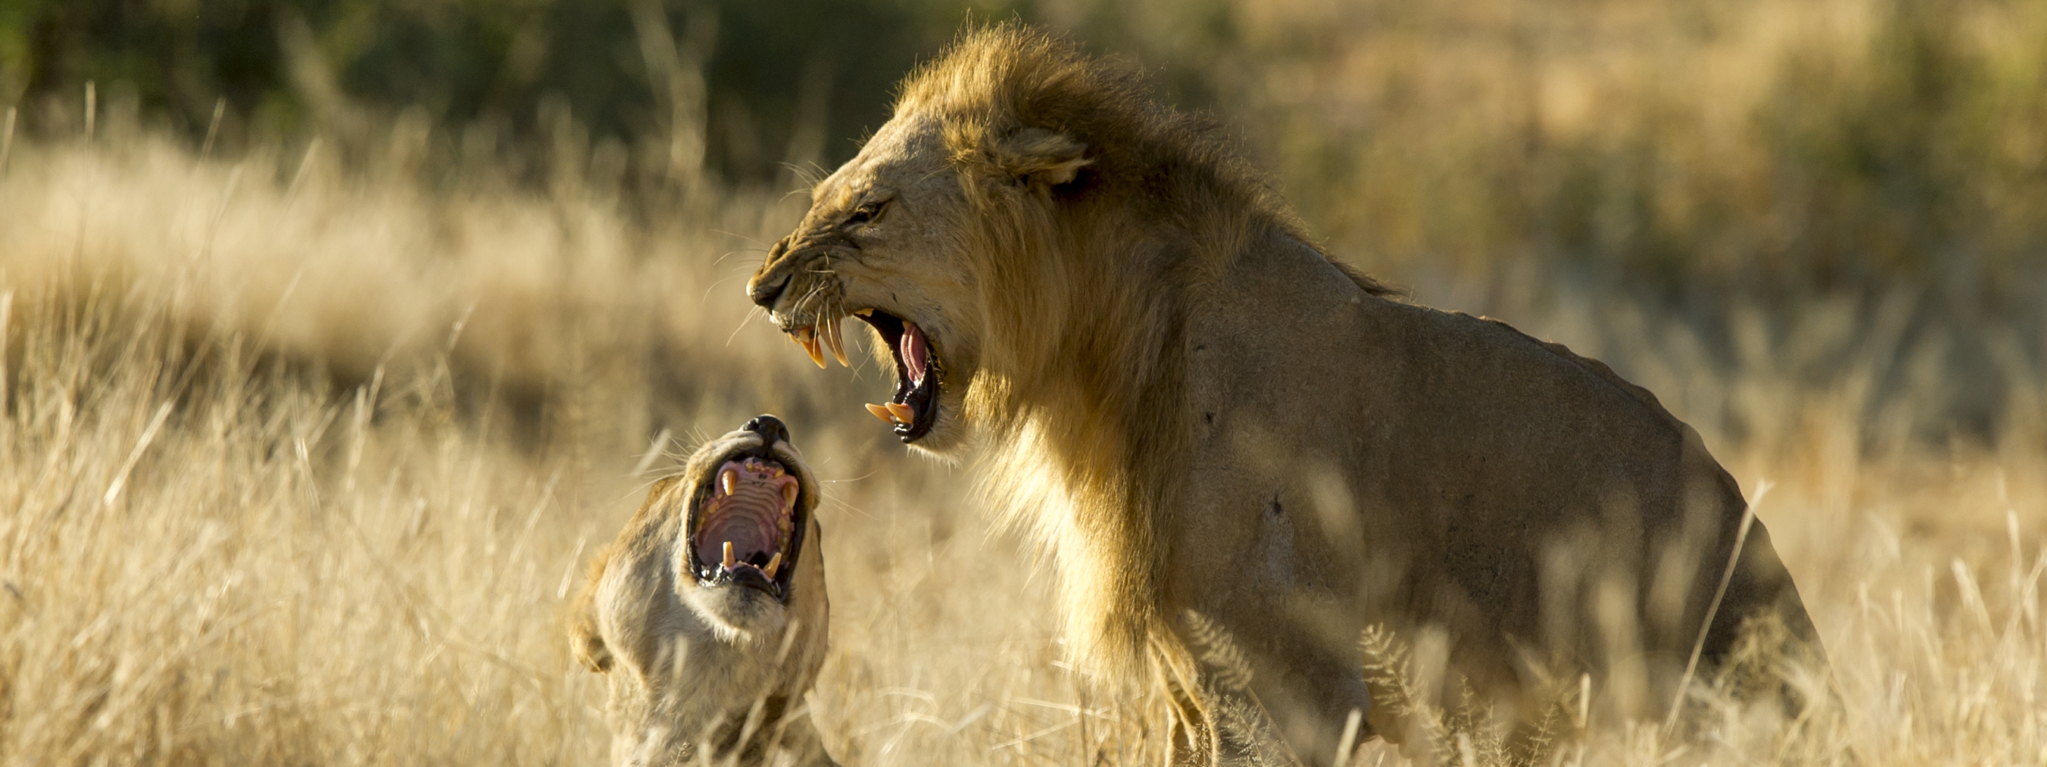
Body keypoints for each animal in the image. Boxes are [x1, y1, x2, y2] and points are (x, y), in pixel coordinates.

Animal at [745, 25, 1817, 767]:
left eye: (866, 209)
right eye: (824, 196)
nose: (762, 287)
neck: (1102, 363)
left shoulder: (1281, 685)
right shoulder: (1191, 688)